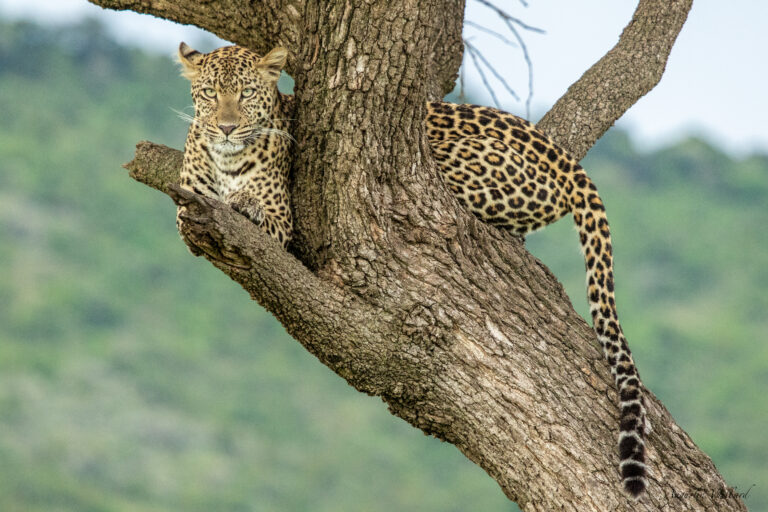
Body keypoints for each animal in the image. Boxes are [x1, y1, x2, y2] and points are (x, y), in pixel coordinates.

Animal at [176, 45, 292, 249]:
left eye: (247, 92)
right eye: (210, 92)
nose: (227, 128)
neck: (227, 159)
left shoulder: (282, 219)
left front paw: (246, 203)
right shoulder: (192, 201)